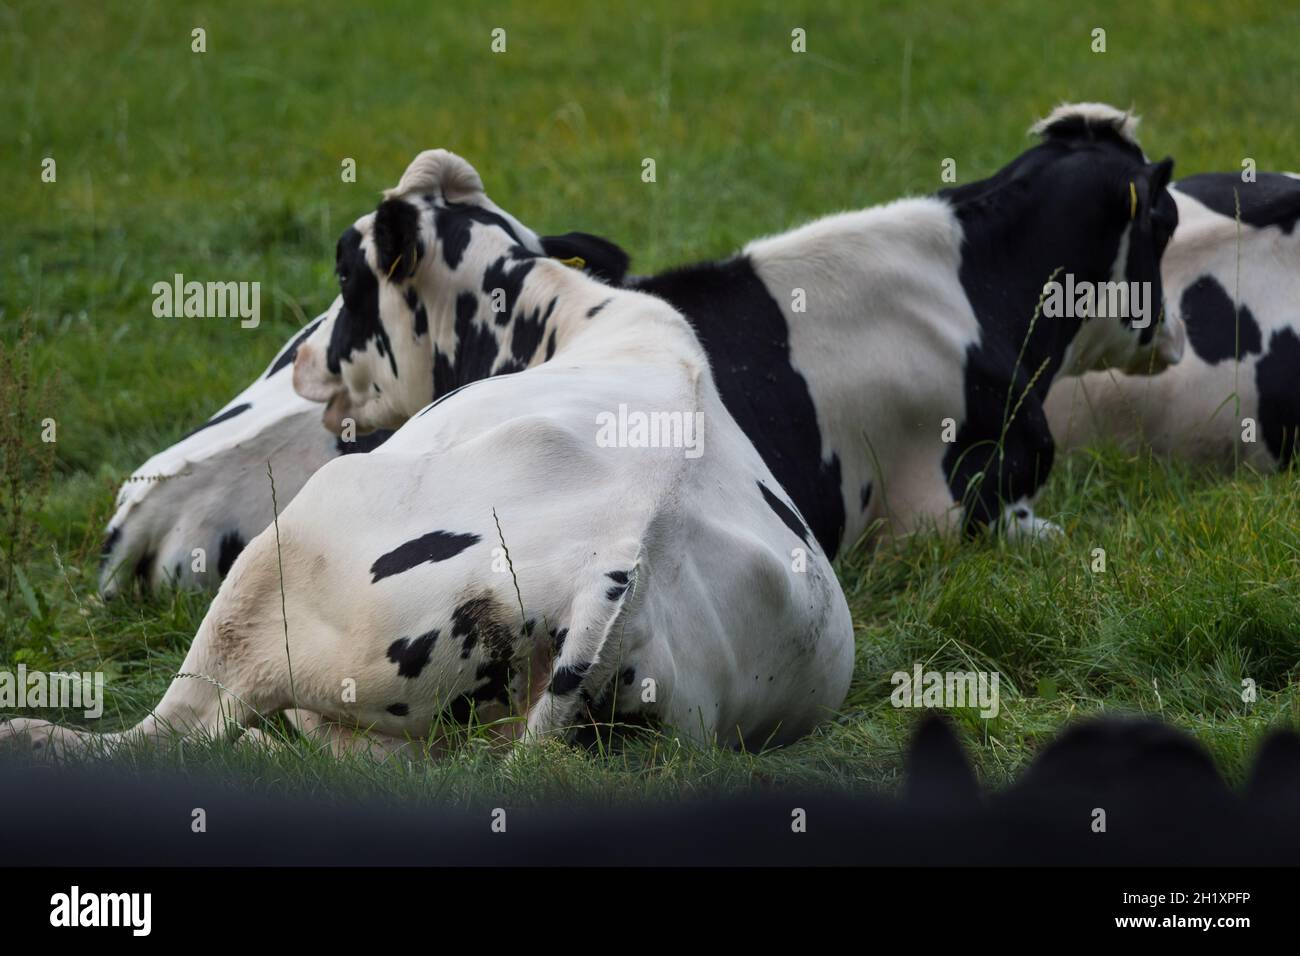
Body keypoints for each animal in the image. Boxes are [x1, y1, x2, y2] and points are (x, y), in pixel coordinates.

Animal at [5, 150, 856, 758]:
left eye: (346, 271)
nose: (302, 356)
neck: (587, 319)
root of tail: (623, 576)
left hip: (276, 562)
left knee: (176, 732)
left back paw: (44, 735)